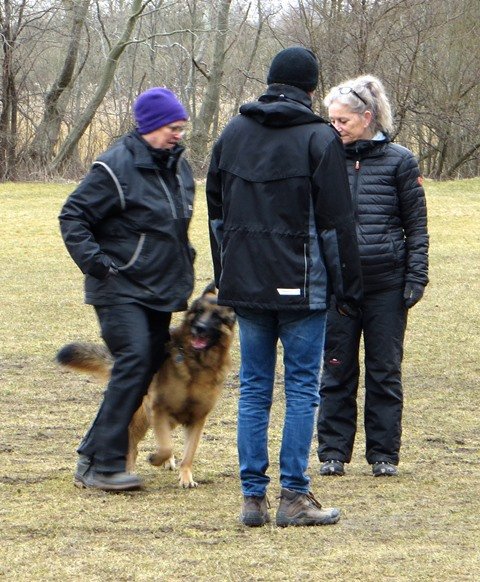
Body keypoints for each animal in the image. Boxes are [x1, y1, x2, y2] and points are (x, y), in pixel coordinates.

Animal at [56, 283, 236, 488]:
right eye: (198, 312)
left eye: (217, 317)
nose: (199, 328)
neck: (196, 364)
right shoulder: (158, 409)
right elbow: (165, 446)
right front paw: (155, 458)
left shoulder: (197, 418)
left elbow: (188, 453)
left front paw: (185, 476)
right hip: (138, 417)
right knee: (131, 445)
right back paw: (124, 471)